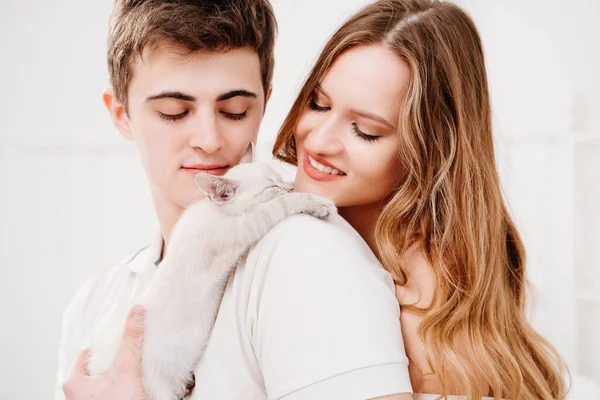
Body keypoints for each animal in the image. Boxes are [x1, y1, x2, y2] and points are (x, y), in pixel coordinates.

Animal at [88, 162, 338, 400]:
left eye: (280, 179)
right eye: (272, 186)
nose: (289, 186)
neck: (214, 211)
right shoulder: (242, 227)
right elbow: (278, 207)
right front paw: (315, 202)